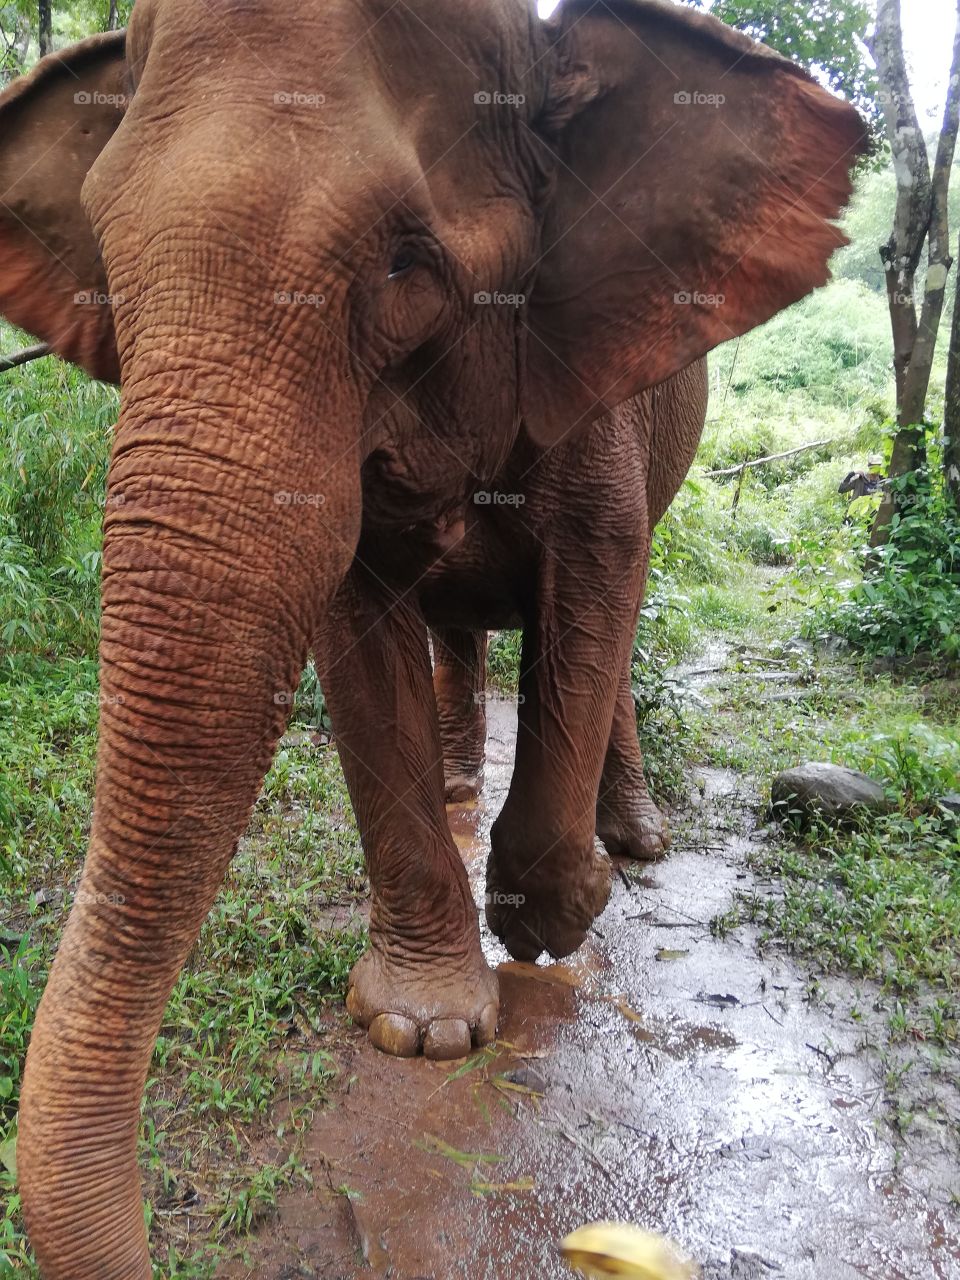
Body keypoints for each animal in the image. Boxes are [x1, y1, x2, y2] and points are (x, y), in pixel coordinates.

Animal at [0, 1, 865, 1274]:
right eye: (107, 260)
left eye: (410, 264)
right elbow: (358, 629)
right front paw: (422, 1027)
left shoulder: (593, 384)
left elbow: (597, 579)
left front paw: (561, 908)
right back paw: (463, 779)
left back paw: (635, 837)